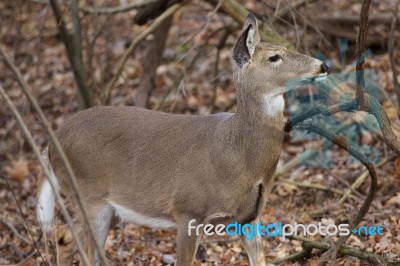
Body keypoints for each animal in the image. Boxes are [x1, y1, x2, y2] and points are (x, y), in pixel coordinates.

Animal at [36, 13, 328, 266]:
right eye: (274, 57)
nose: (323, 65)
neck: (237, 155)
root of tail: (51, 143)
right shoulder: (188, 211)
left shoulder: (249, 218)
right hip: (88, 194)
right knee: (78, 245)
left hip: (112, 209)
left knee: (66, 237)